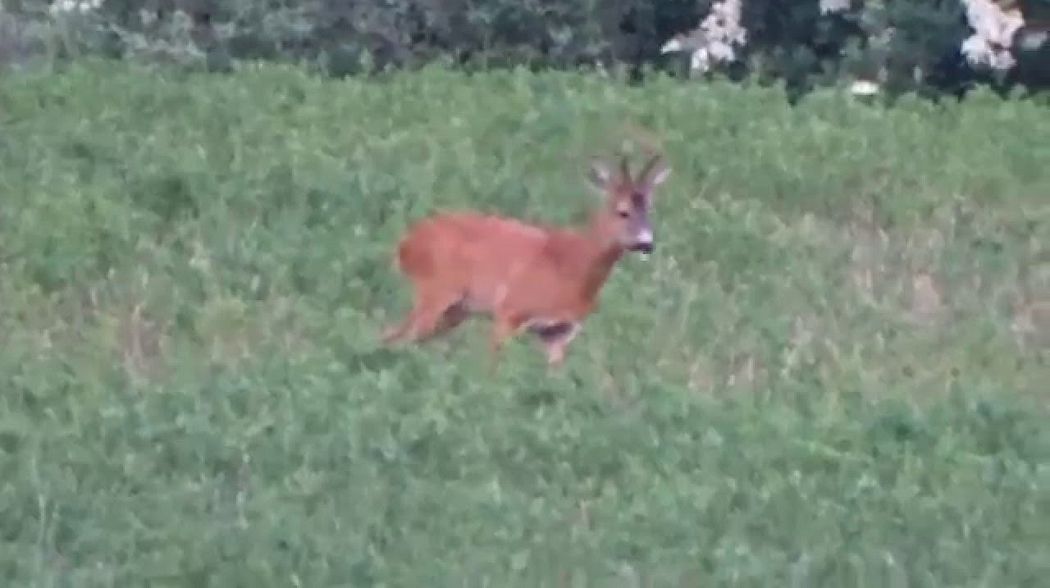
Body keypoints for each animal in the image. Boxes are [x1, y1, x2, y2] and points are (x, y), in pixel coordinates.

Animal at [382, 151, 667, 371]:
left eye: (650, 209)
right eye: (623, 211)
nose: (646, 243)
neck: (574, 266)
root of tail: (406, 242)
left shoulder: (559, 331)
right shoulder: (509, 310)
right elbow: (492, 367)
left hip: (455, 310)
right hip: (435, 292)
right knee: (395, 337)